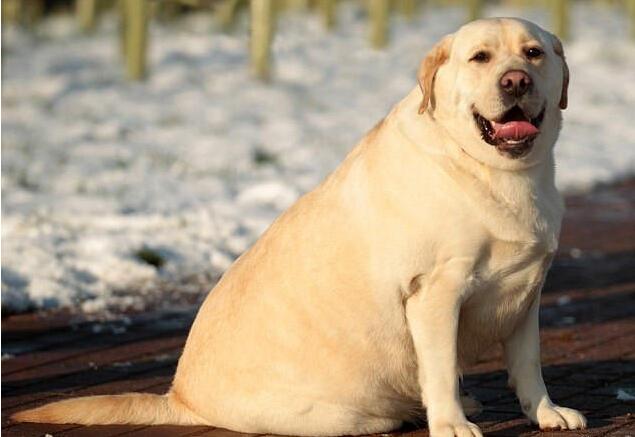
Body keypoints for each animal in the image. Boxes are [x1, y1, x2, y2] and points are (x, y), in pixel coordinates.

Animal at [12, 17, 588, 436]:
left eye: (533, 54)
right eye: (480, 58)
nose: (516, 81)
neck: (494, 172)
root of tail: (181, 398)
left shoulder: (526, 294)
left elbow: (530, 365)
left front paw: (546, 413)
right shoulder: (434, 293)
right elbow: (442, 368)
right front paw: (451, 424)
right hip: (340, 414)